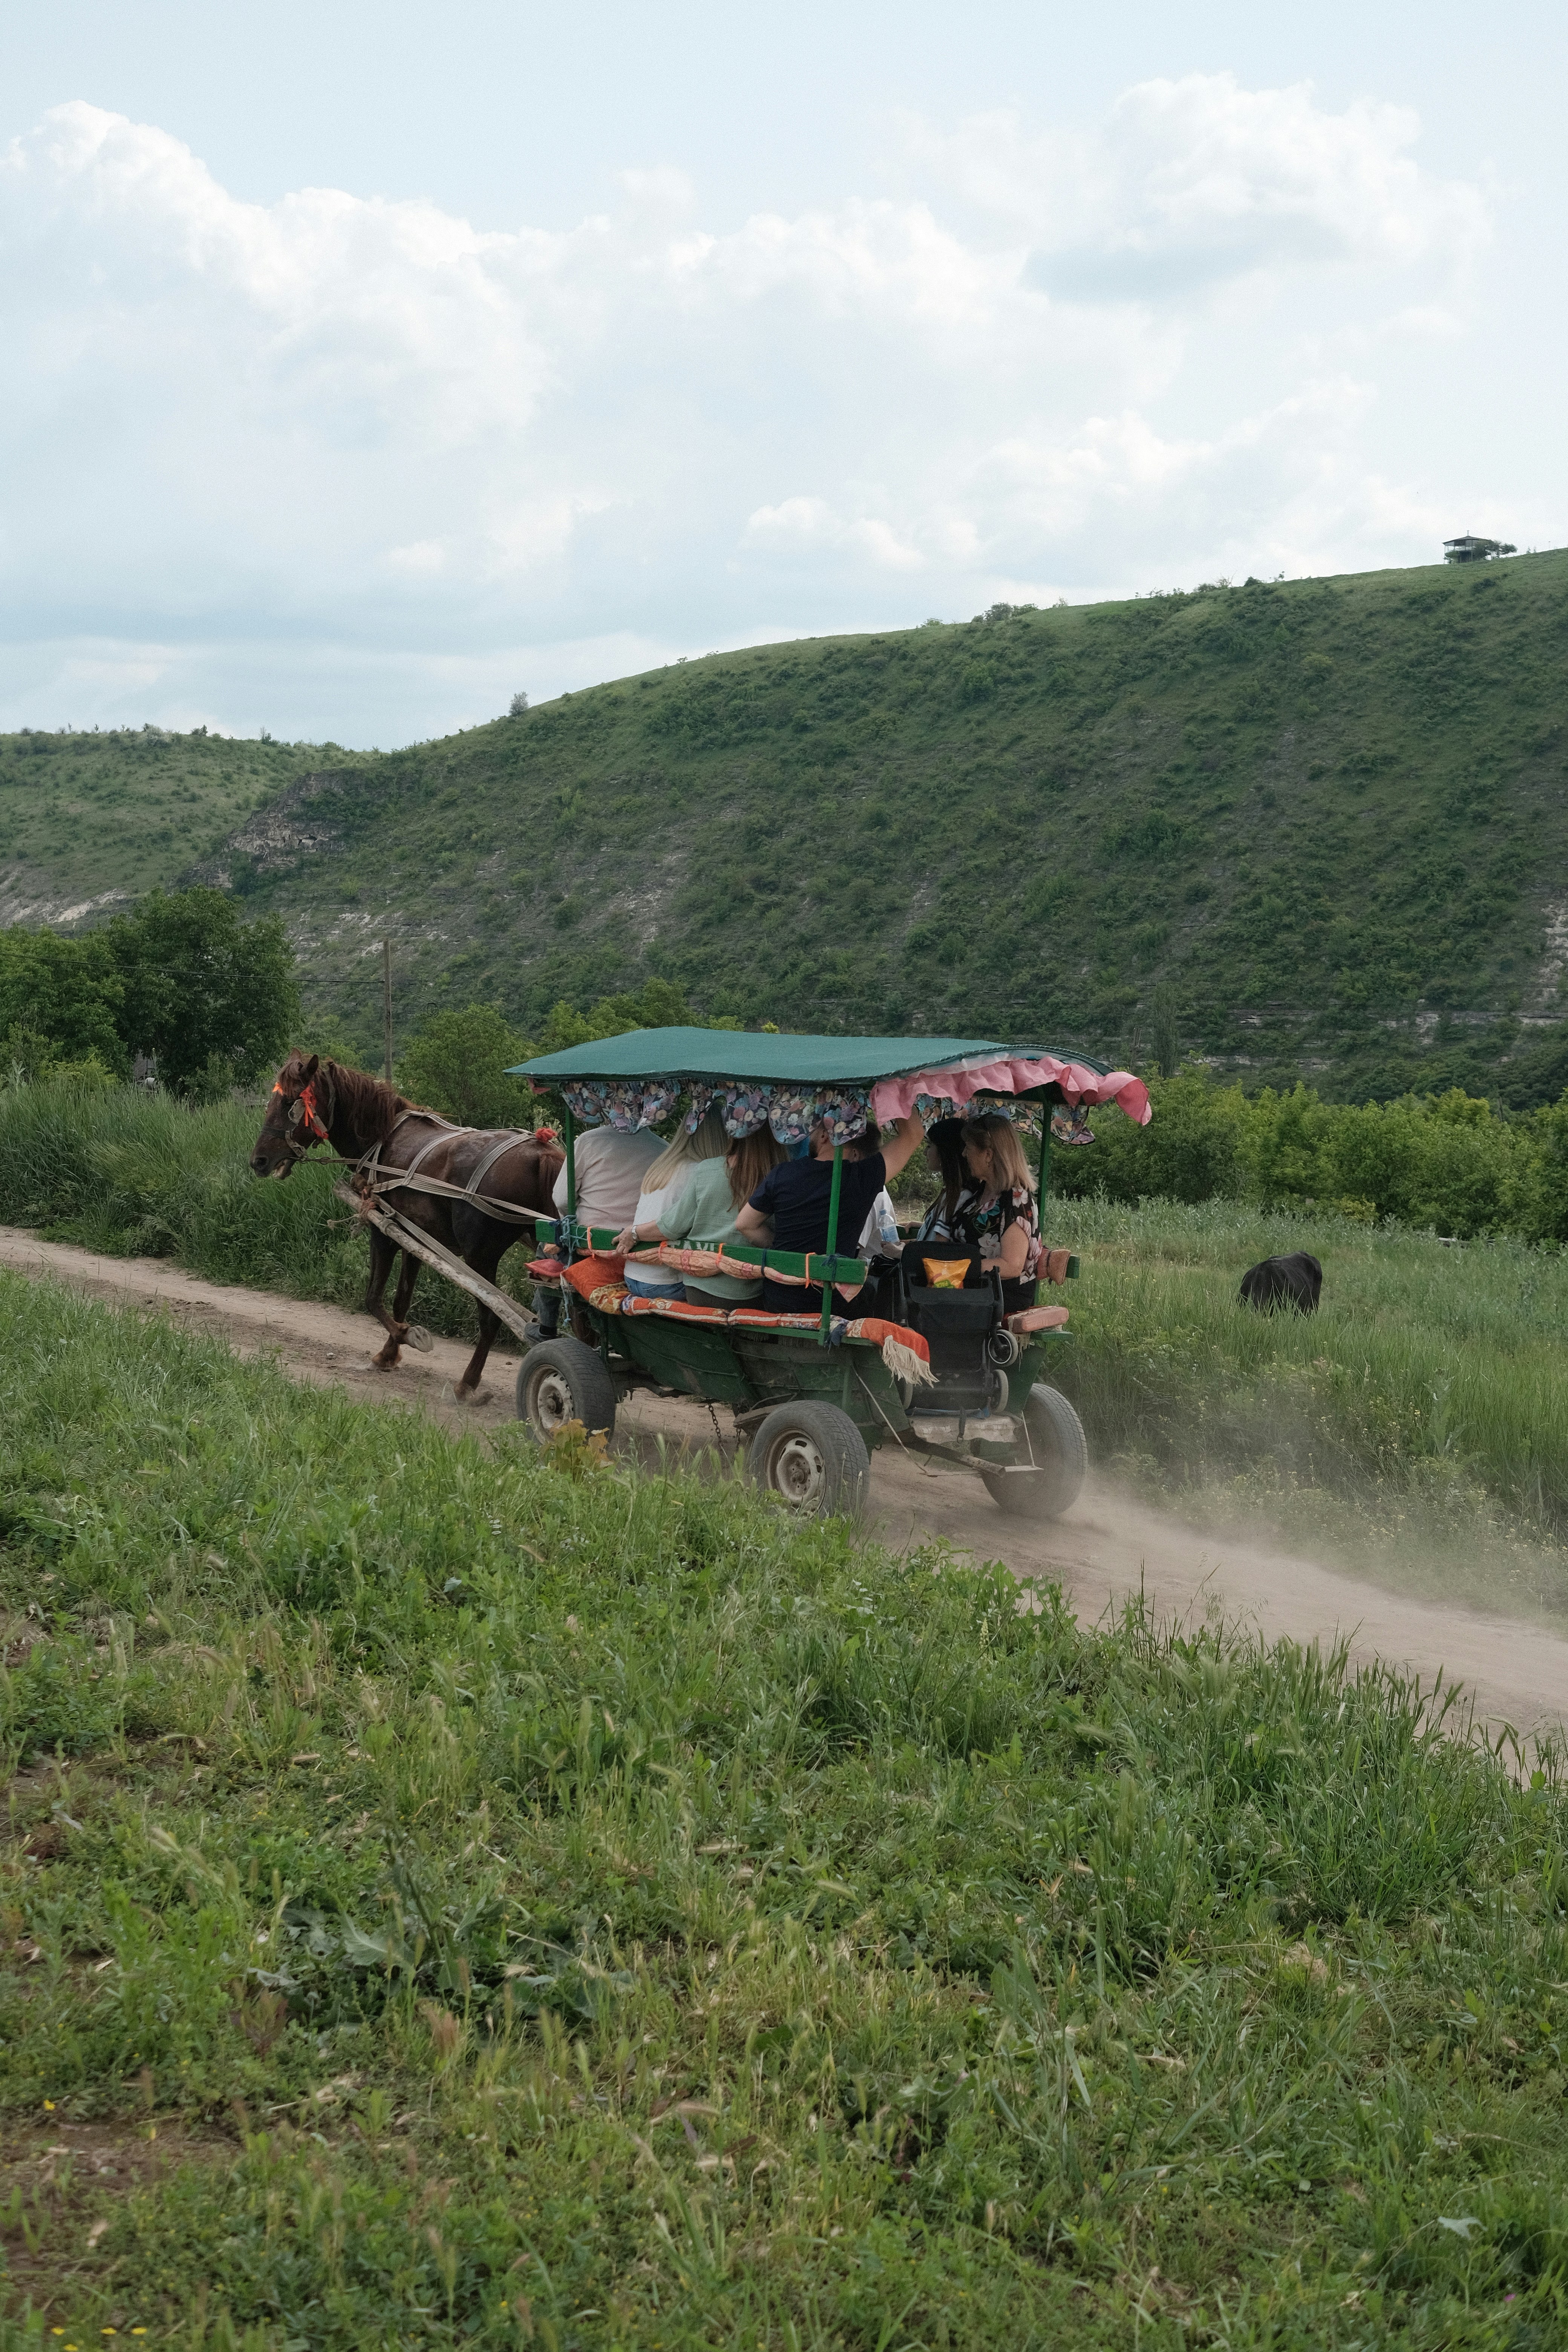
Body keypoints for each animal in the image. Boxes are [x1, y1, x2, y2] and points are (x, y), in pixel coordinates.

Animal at [249, 1052, 563, 1402]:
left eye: (289, 1103)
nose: (258, 1161)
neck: (382, 1141)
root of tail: (542, 1154)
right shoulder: (414, 1237)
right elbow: (401, 1299)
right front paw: (387, 1354)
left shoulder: (383, 1231)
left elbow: (373, 1298)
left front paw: (406, 1335)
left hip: (481, 1258)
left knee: (491, 1319)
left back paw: (468, 1383)